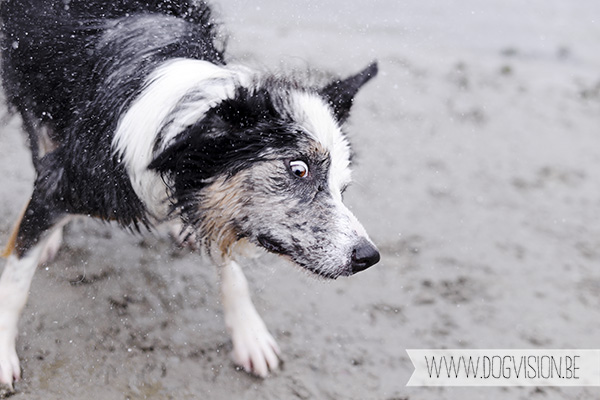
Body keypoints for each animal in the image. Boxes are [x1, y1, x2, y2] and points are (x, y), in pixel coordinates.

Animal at [0, 0, 380, 390]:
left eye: (343, 187)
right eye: (298, 169)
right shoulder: (67, 180)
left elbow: (231, 269)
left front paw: (249, 334)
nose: (368, 256)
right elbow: (16, 280)